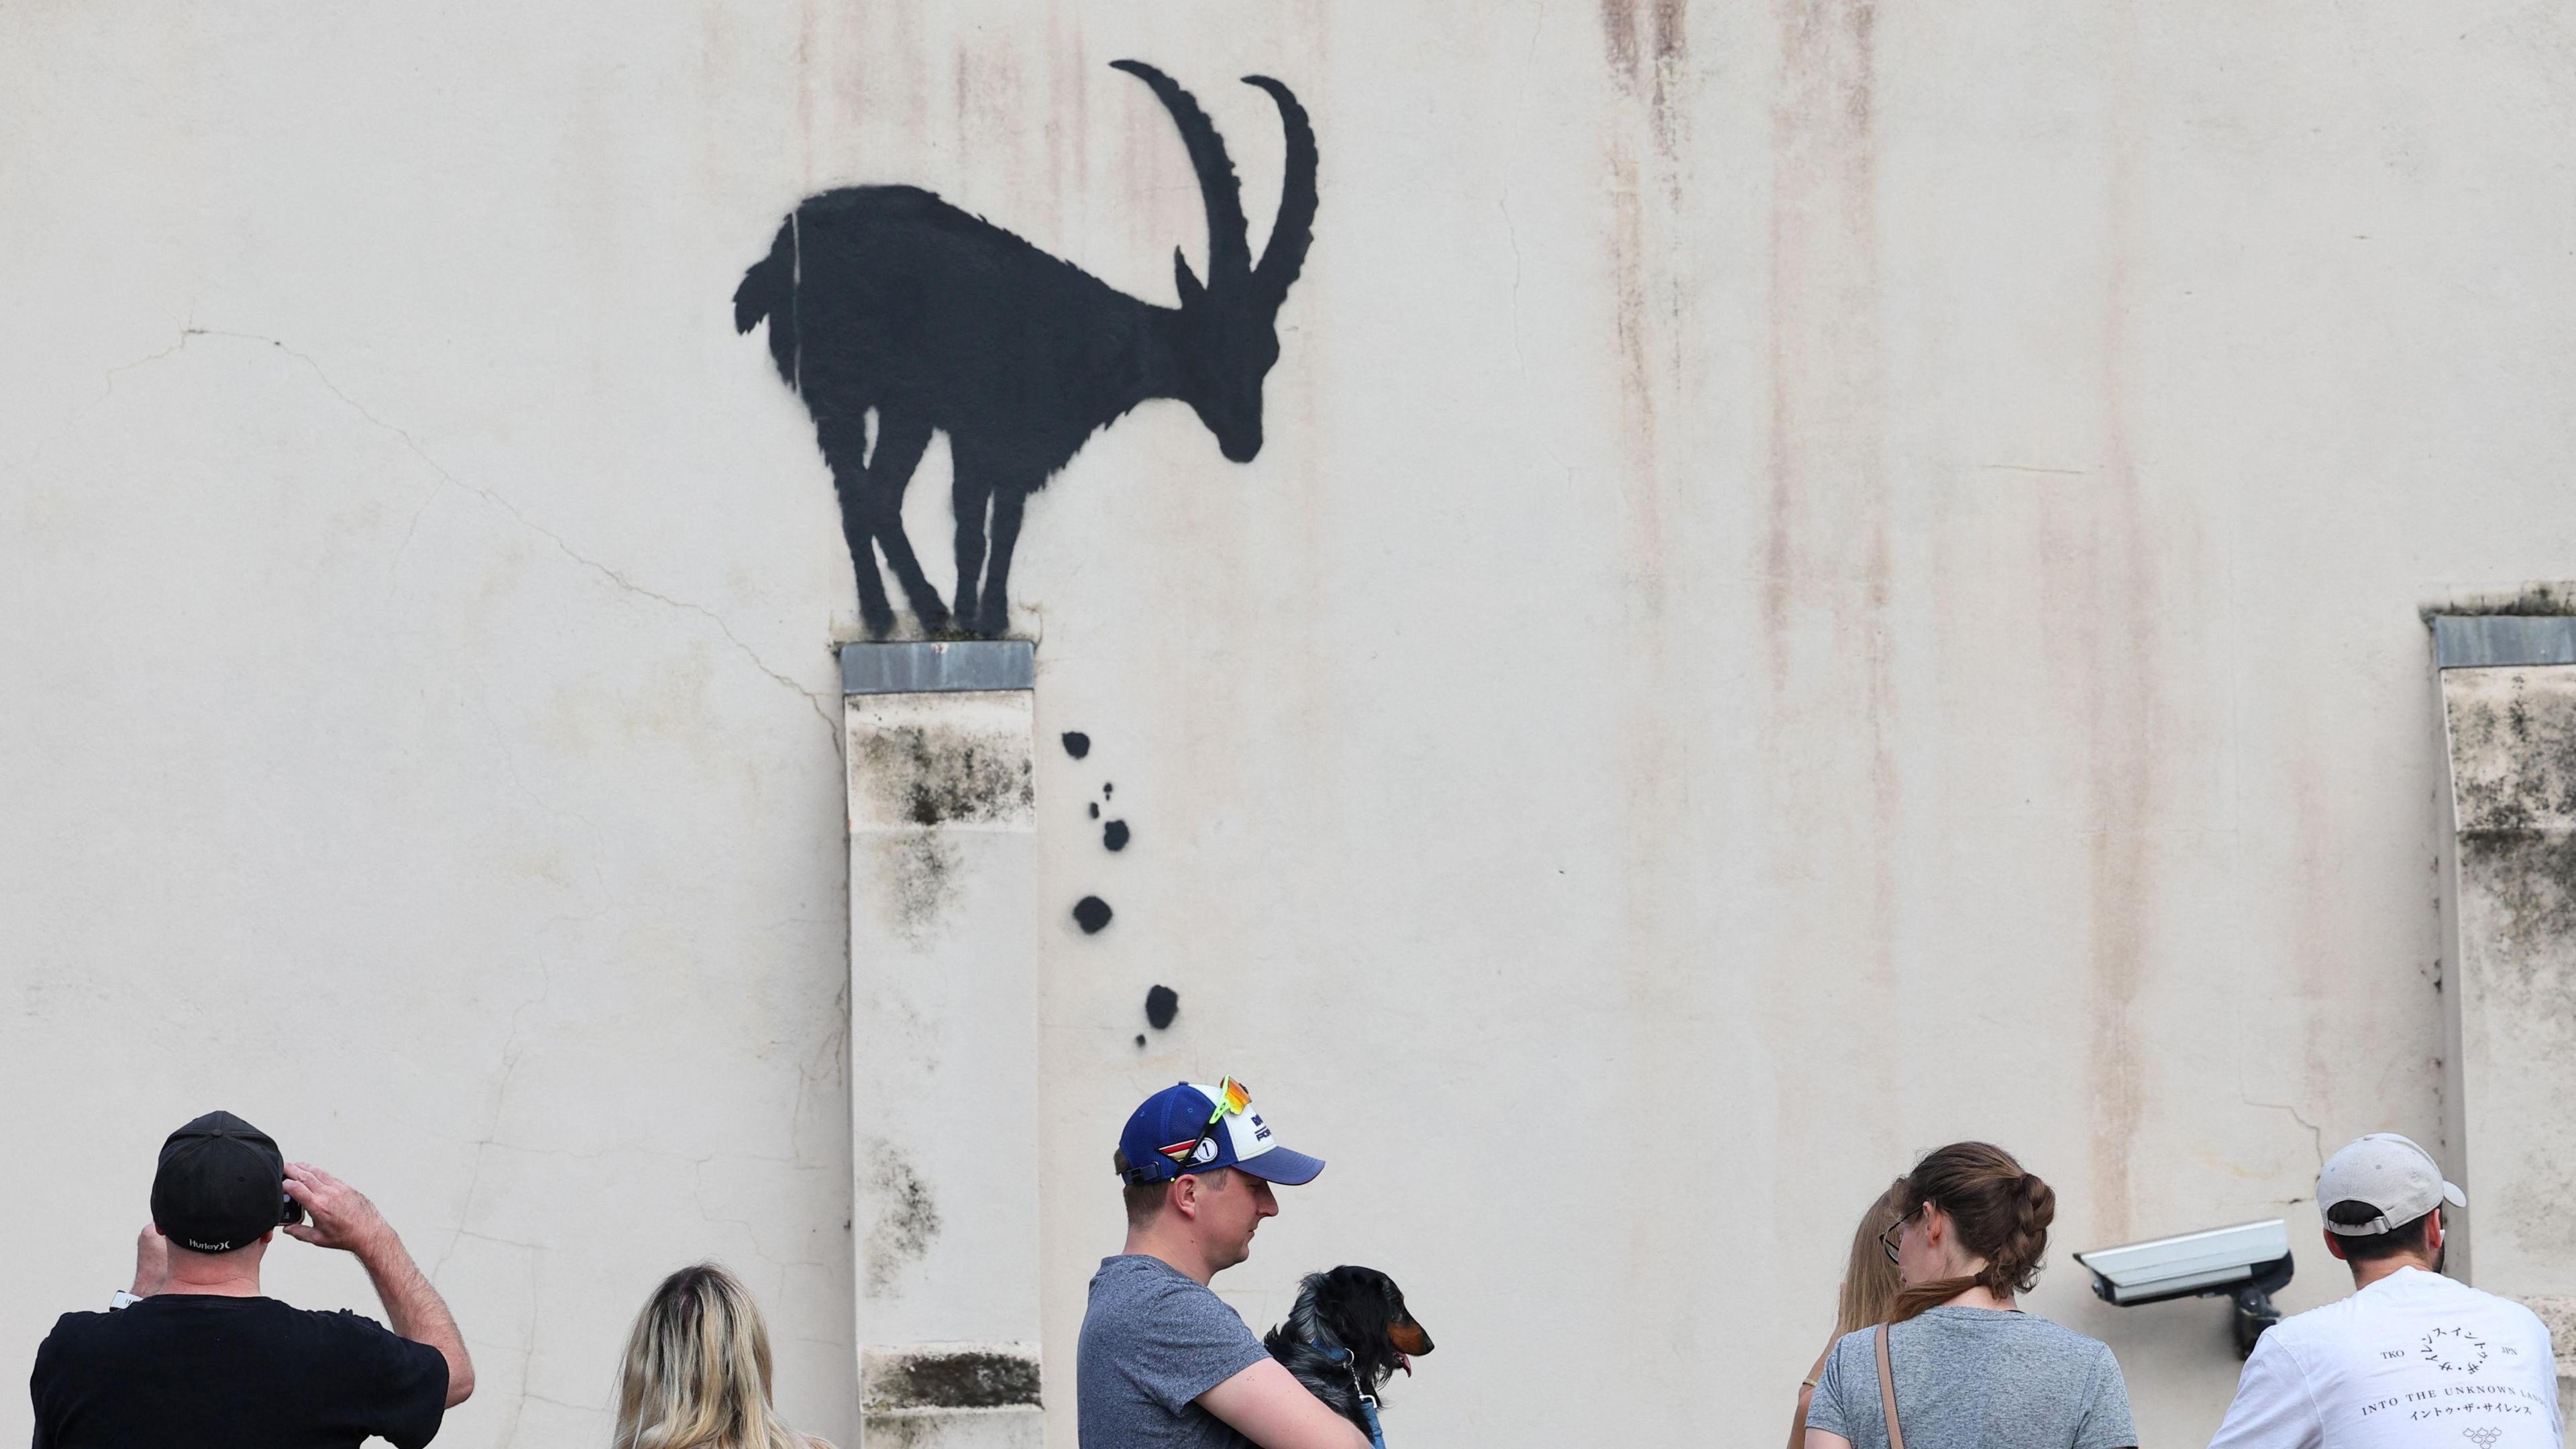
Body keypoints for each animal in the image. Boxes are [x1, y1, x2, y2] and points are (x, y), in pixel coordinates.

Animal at [737, 60, 1319, 637]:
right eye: (1208, 349)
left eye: (1268, 356)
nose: (1246, 444)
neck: (1085, 336)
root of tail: (776, 258)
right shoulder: (980, 431)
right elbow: (973, 529)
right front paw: (973, 618)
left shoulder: (1014, 446)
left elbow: (1003, 527)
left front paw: (986, 616)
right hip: (844, 392)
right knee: (861, 493)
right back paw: (896, 613)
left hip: (906, 410)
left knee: (875, 493)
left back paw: (911, 611)